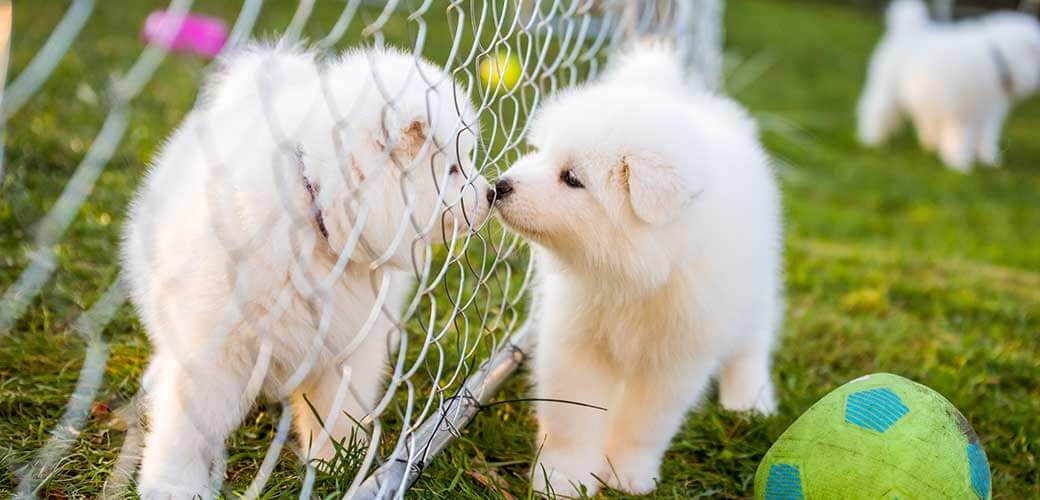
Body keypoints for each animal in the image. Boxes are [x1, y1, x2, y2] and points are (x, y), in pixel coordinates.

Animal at [121, 44, 490, 496]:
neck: (319, 223)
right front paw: (173, 483)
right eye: (453, 170)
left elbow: (337, 410)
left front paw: (336, 465)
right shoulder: (216, 348)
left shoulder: (349, 344)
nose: (492, 193)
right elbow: (189, 424)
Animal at [492, 43, 782, 494]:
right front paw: (562, 479)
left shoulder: (675, 358)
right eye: (542, 151)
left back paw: (749, 401)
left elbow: (645, 424)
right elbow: (572, 418)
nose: (499, 186)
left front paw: (626, 475)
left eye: (571, 178)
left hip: (753, 289)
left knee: (752, 344)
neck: (629, 278)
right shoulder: (575, 340)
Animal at [856, 0, 1040, 170]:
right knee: (876, 111)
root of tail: (909, 28)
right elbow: (960, 139)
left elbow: (986, 138)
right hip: (888, 90)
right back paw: (873, 140)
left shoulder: (988, 114)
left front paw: (989, 160)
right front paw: (961, 165)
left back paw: (928, 144)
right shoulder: (961, 112)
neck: (996, 57)